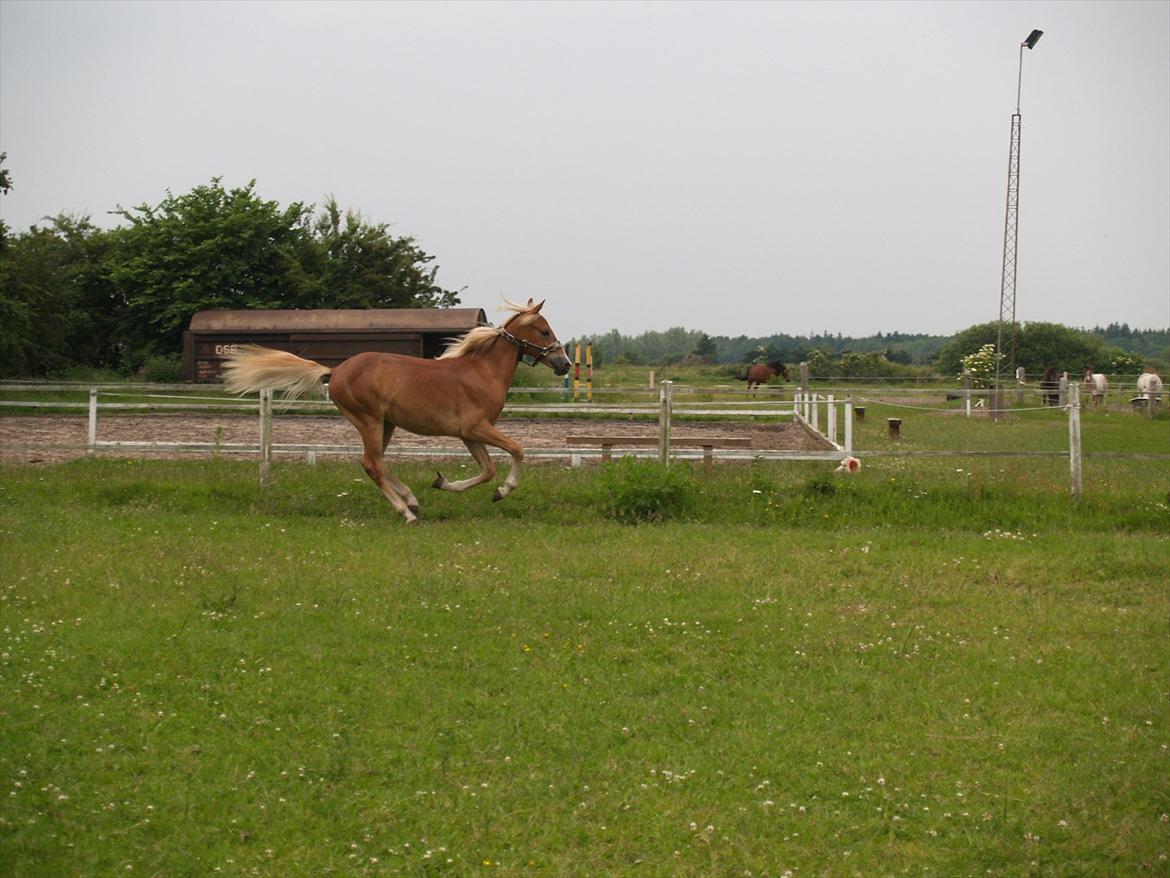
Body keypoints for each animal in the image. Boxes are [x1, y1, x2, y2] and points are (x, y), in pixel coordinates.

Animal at [221, 298, 571, 524]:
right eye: (543, 331)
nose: (564, 363)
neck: (482, 371)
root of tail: (335, 371)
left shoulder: (469, 435)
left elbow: (487, 471)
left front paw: (448, 484)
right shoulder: (476, 428)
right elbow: (517, 450)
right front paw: (504, 490)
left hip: (386, 424)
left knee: (374, 462)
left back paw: (412, 501)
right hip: (370, 421)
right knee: (372, 463)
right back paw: (405, 512)